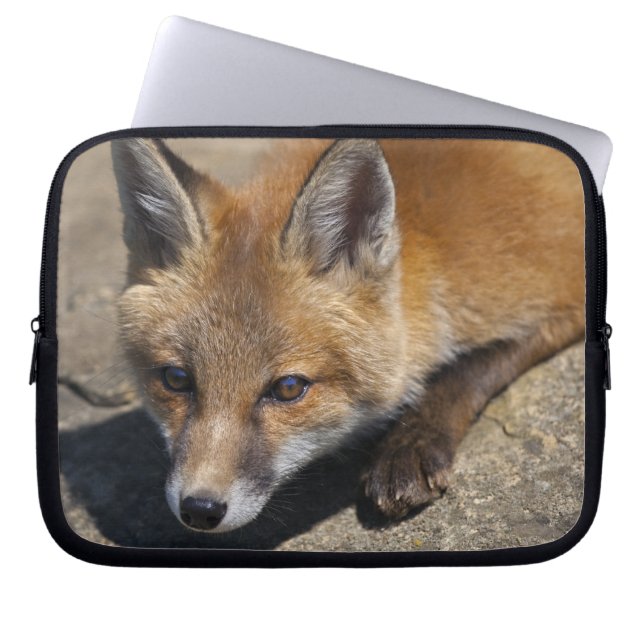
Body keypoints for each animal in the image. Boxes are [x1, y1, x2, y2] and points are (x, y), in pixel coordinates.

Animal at [111, 136, 584, 533]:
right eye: (176, 379)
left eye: (288, 388)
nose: (200, 509)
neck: (434, 254)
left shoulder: (562, 295)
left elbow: (468, 369)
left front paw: (410, 444)